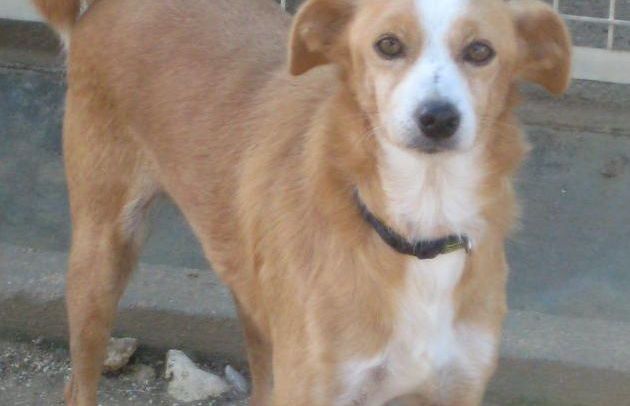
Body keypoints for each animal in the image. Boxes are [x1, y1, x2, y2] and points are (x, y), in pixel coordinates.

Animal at [33, 0, 571, 404]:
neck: (418, 227)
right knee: (78, 385)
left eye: (480, 50)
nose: (437, 118)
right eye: (388, 44)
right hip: (102, 257)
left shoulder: (456, 387)